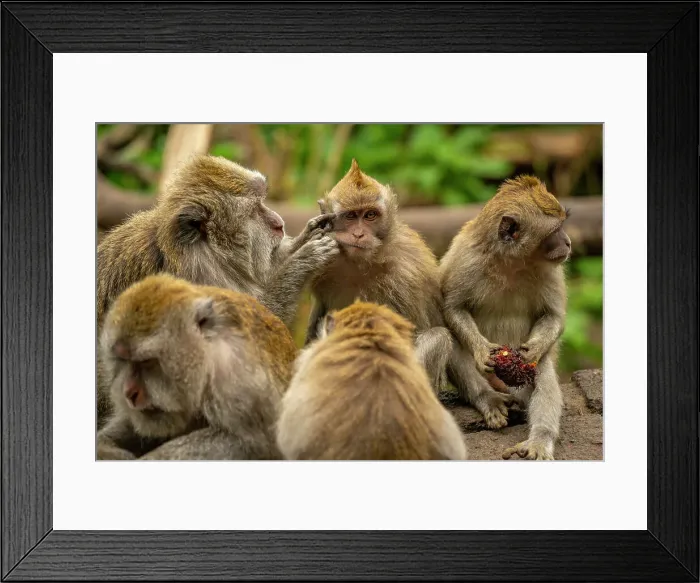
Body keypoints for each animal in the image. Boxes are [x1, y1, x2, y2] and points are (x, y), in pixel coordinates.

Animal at [96, 273, 297, 460]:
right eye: (123, 360)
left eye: (146, 361)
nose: (129, 392)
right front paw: (107, 448)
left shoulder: (237, 376)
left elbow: (252, 444)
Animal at [306, 159, 452, 392]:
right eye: (350, 216)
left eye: (370, 215)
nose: (358, 234)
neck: (362, 262)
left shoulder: (406, 271)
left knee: (437, 338)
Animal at [440, 175, 570, 460]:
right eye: (554, 230)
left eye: (562, 226)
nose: (567, 242)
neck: (512, 262)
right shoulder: (466, 259)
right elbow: (453, 308)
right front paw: (481, 350)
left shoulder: (552, 269)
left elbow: (553, 316)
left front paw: (534, 349)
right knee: (449, 341)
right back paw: (488, 399)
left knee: (542, 369)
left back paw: (540, 439)